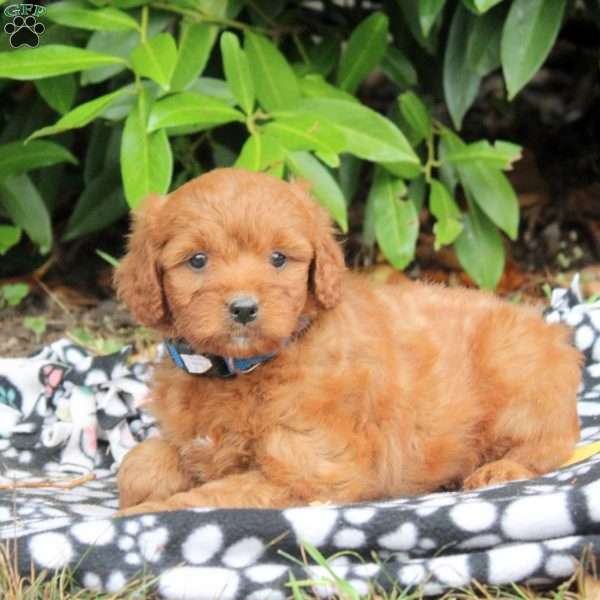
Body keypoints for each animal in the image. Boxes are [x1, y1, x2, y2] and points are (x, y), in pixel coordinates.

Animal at [113, 166, 580, 512]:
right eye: (197, 261)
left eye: (278, 258)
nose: (244, 309)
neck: (238, 369)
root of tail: (551, 330)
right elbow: (139, 461)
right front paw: (141, 489)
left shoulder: (312, 473)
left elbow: (209, 499)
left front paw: (142, 515)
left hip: (513, 366)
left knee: (551, 442)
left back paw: (499, 471)